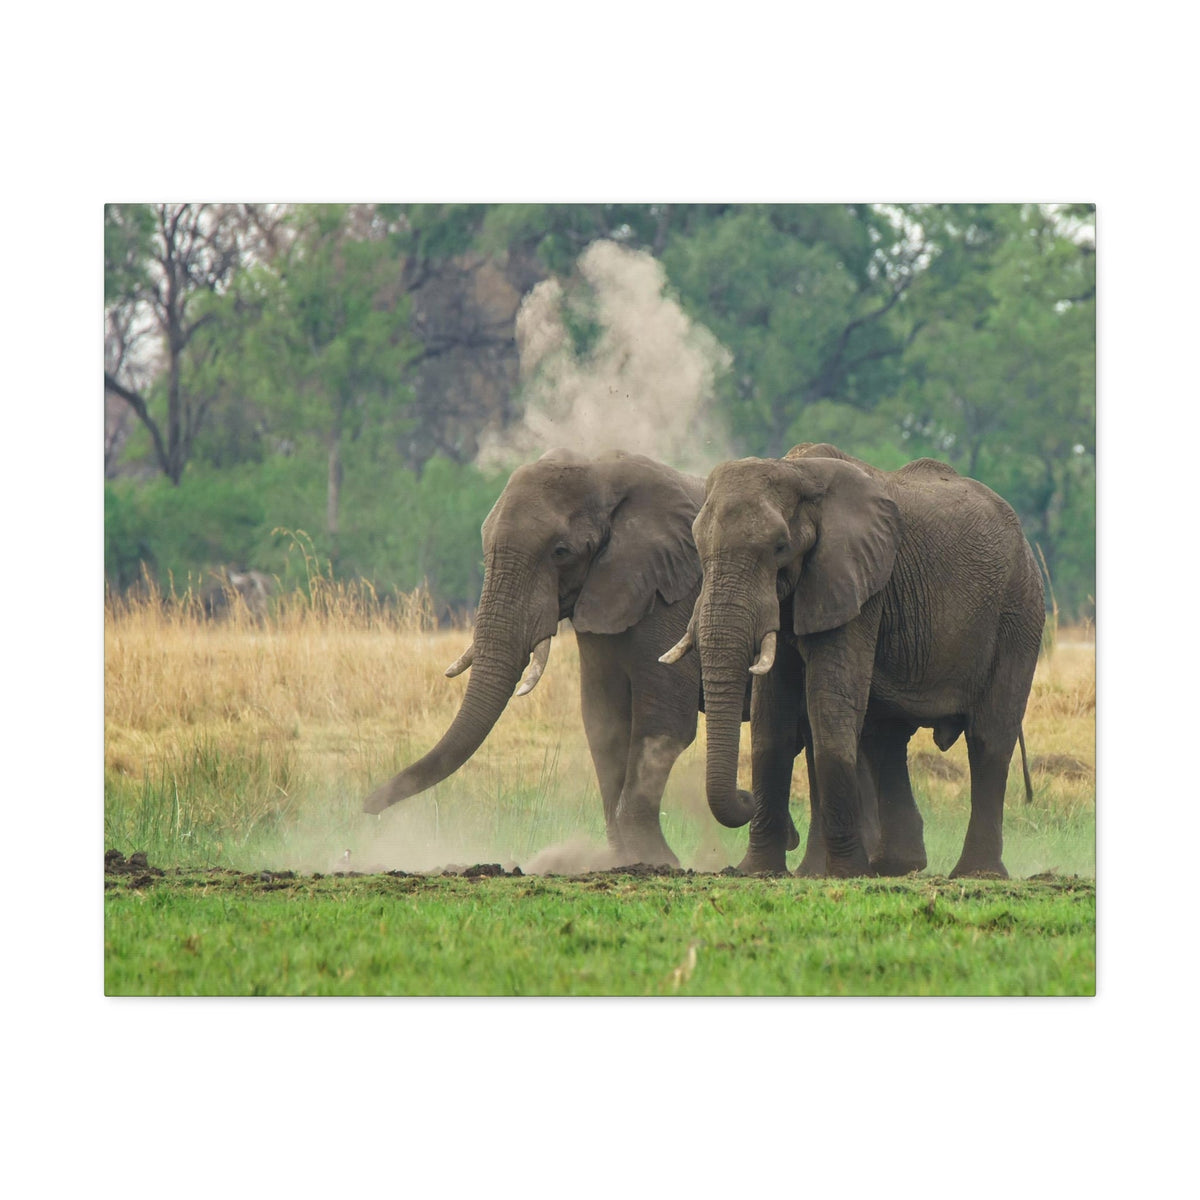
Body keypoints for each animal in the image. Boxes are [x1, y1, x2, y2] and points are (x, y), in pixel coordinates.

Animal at [363, 448, 798, 867]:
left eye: (560, 552)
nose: (367, 807)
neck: (602, 472)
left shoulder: (670, 594)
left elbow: (663, 723)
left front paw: (657, 859)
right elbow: (603, 723)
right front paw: (623, 859)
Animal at [660, 442, 1044, 879]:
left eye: (779, 547)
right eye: (698, 547)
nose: (744, 798)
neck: (797, 472)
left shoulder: (856, 585)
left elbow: (829, 704)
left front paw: (842, 873)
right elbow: (771, 718)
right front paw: (756, 871)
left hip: (1018, 611)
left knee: (989, 736)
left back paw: (975, 874)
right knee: (887, 739)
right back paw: (895, 866)